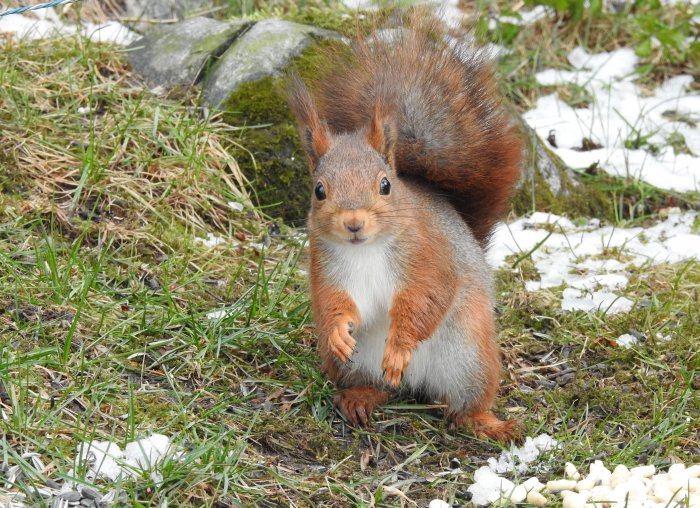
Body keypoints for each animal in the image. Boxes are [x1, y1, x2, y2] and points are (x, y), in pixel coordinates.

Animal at [284, 10, 520, 440]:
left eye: (385, 185)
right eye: (319, 190)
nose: (354, 222)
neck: (367, 249)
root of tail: (417, 382)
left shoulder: (431, 256)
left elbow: (426, 297)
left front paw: (400, 345)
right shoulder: (325, 266)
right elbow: (332, 301)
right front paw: (338, 331)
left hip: (469, 358)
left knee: (462, 406)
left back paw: (486, 424)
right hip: (356, 363)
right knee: (380, 387)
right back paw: (361, 397)